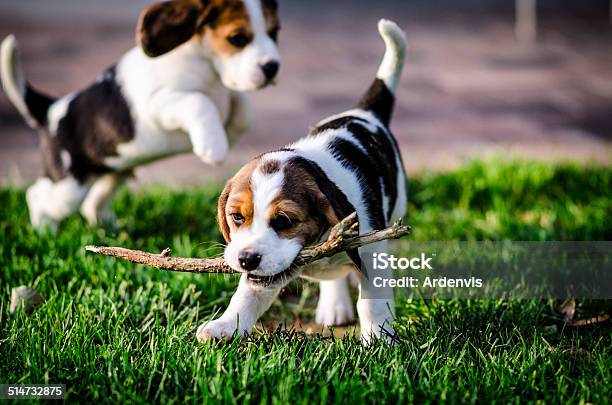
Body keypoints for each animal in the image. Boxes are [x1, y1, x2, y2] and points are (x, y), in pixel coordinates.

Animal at [0, 0, 280, 232]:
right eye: (237, 39)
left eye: (274, 32)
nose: (272, 67)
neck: (205, 64)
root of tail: (51, 110)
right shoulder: (157, 104)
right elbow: (199, 101)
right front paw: (213, 145)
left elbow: (241, 103)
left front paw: (231, 127)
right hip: (68, 187)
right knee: (37, 196)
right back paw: (44, 232)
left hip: (115, 170)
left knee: (93, 203)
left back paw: (108, 229)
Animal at [200, 19, 406, 344]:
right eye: (237, 217)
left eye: (284, 221)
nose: (247, 259)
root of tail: (364, 112)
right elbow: (245, 296)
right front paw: (225, 326)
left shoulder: (371, 252)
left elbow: (372, 301)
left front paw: (379, 341)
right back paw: (333, 305)